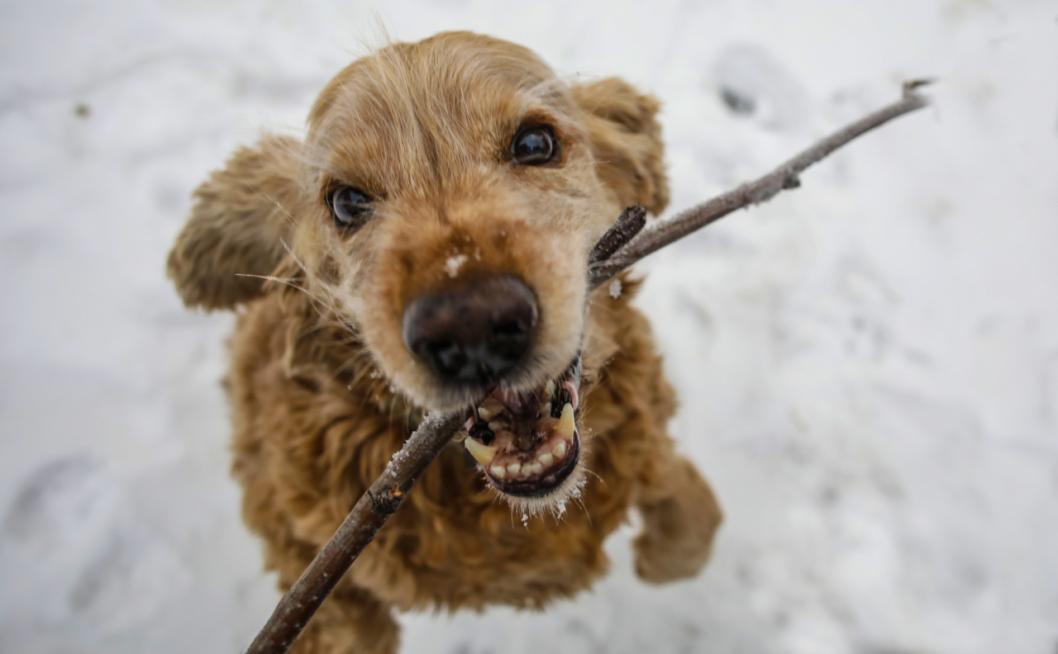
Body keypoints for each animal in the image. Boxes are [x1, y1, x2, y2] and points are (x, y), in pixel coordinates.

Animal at [167, 31, 719, 651]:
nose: (472, 327)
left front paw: (664, 546)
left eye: (535, 142)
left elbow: (690, 519)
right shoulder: (294, 543)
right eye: (346, 202)